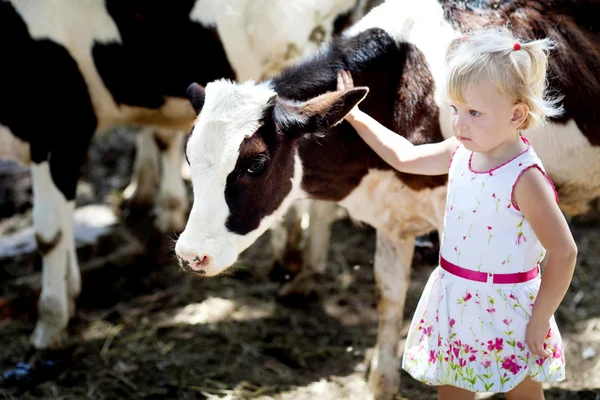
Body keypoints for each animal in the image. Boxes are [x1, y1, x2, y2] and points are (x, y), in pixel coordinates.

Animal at [0, 0, 364, 374]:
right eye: (192, 157)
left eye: (255, 164)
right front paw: (70, 295)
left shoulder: (61, 128)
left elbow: (49, 235)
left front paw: (48, 330)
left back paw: (295, 263)